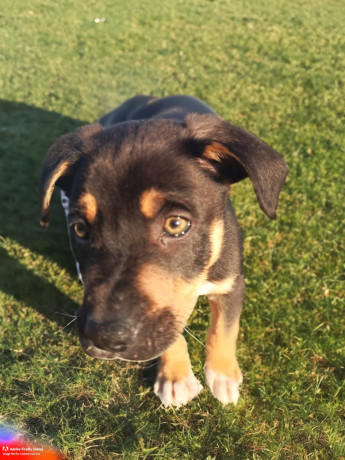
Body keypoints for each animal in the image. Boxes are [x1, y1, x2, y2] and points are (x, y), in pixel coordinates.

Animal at [39, 94, 288, 406]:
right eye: (81, 229)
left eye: (176, 223)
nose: (105, 338)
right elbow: (173, 333)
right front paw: (176, 378)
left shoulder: (232, 282)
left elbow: (224, 329)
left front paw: (222, 375)